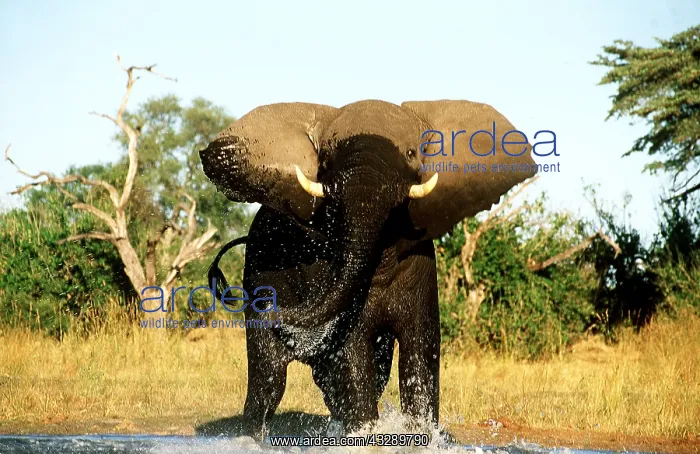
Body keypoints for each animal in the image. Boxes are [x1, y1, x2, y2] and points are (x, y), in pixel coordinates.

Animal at [198, 99, 536, 440]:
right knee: (269, 380)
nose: (275, 311)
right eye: (326, 159)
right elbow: (352, 351)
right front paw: (366, 436)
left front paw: (419, 436)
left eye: (411, 153)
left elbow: (421, 348)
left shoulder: (421, 266)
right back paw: (252, 437)